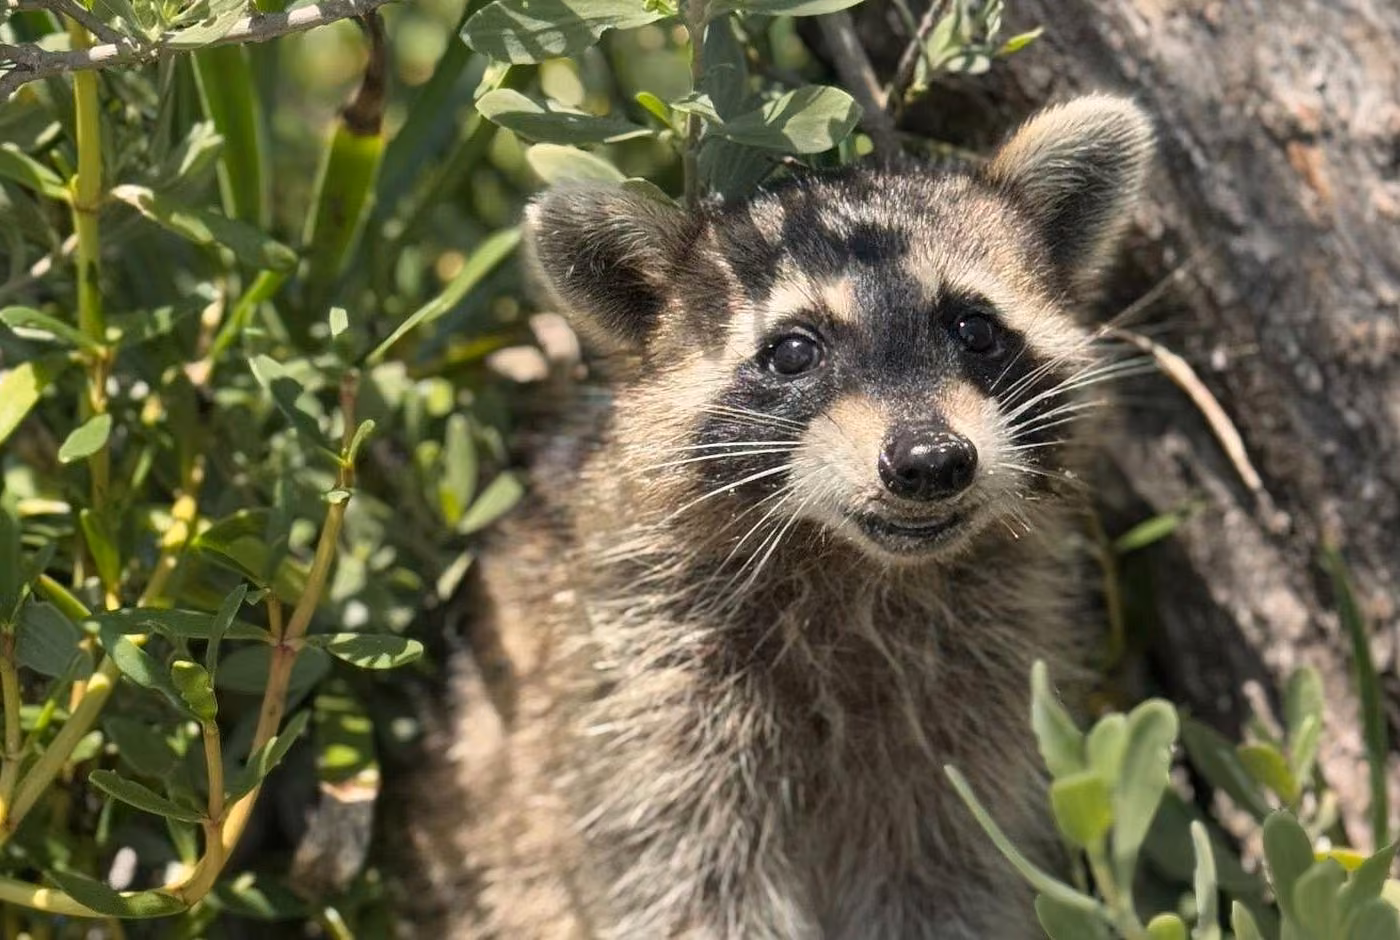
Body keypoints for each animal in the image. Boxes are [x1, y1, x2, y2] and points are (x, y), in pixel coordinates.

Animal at [407, 95, 1154, 939]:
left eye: (974, 327)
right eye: (795, 350)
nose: (931, 461)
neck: (855, 566)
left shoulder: (977, 699)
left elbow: (947, 871)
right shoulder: (648, 687)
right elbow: (684, 880)